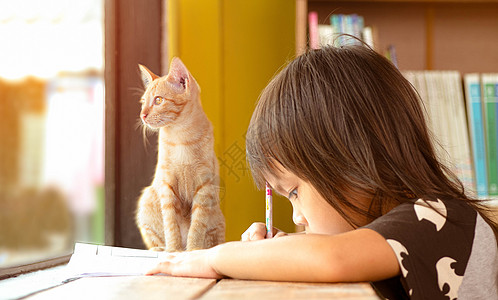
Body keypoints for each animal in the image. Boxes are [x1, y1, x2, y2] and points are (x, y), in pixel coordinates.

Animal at [134, 57, 224, 252]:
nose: (142, 115)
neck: (182, 138)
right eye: (143, 102)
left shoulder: (205, 186)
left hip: (217, 217)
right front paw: (174, 250)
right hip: (146, 200)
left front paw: (193, 250)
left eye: (158, 100)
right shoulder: (167, 186)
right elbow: (170, 223)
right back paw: (161, 249)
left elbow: (197, 224)